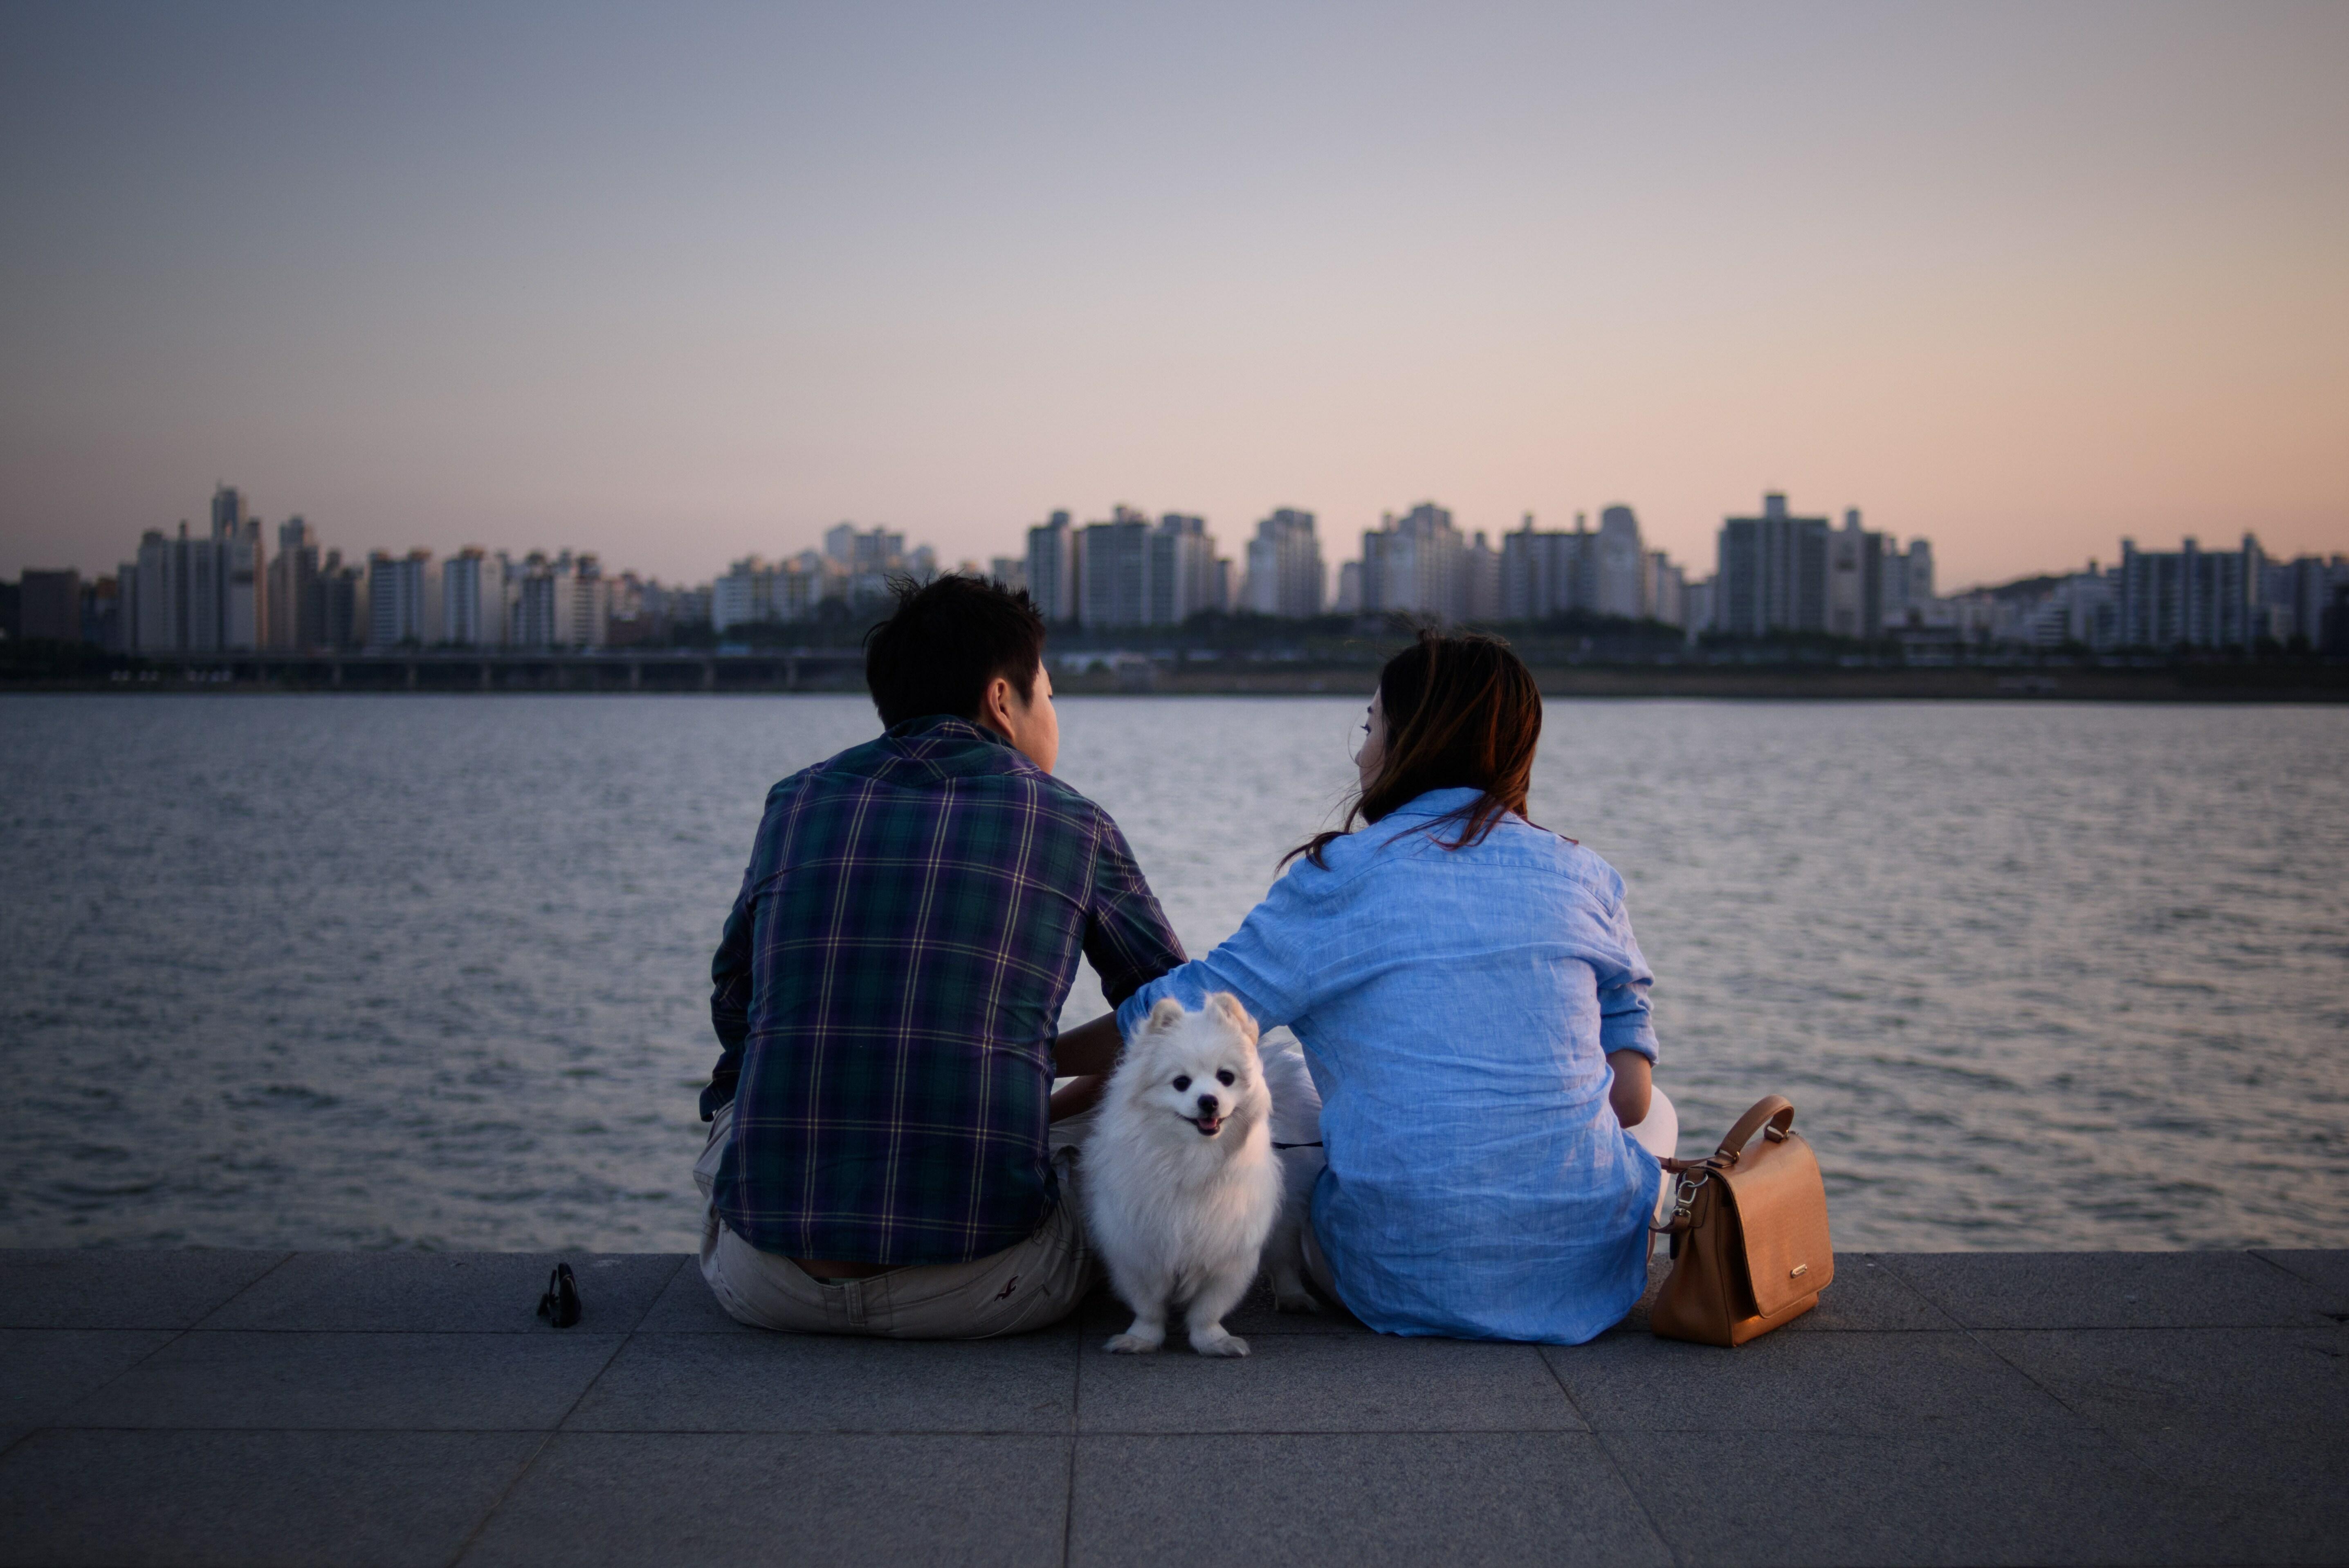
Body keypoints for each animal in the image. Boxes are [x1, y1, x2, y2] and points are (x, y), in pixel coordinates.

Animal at [1080, 1001, 1287, 1354]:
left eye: (1226, 1077)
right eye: (1181, 1083)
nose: (1208, 1101)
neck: (1193, 1161)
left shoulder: (1228, 1257)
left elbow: (1208, 1309)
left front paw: (1214, 1342)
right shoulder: (1137, 1252)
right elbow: (1147, 1307)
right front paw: (1141, 1339)